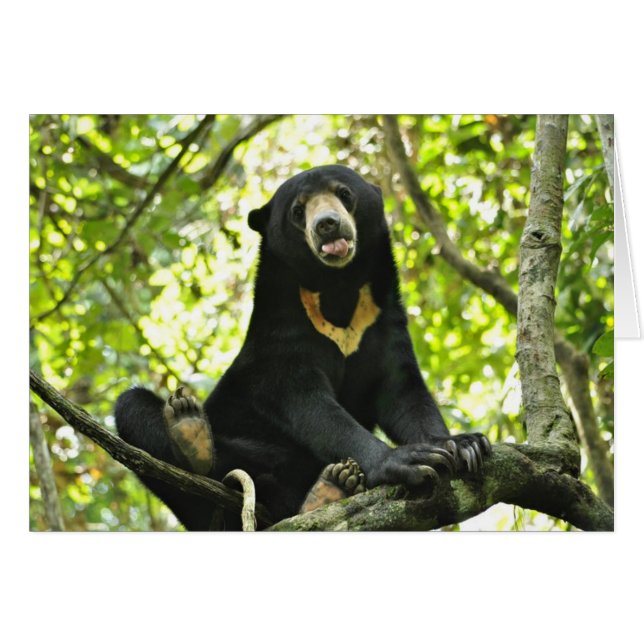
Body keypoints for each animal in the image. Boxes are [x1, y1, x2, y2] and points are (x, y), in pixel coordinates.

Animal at [115, 165, 491, 530]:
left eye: (344, 194)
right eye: (298, 211)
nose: (326, 225)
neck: (337, 286)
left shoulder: (382, 324)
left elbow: (403, 393)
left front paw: (464, 445)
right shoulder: (283, 337)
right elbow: (307, 403)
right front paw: (405, 460)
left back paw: (331, 486)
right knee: (134, 408)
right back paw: (193, 434)